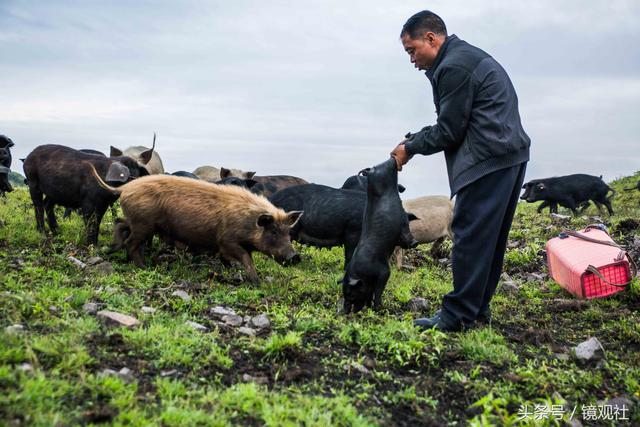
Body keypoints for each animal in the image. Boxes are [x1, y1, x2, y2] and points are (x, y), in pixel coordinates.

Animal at [91, 168, 302, 284]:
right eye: (273, 231)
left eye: (288, 233)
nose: (295, 256)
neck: (247, 220)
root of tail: (124, 187)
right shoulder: (227, 240)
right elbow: (245, 258)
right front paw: (257, 282)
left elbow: (230, 259)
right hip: (144, 224)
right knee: (131, 243)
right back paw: (144, 267)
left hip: (138, 221)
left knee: (120, 223)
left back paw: (113, 249)